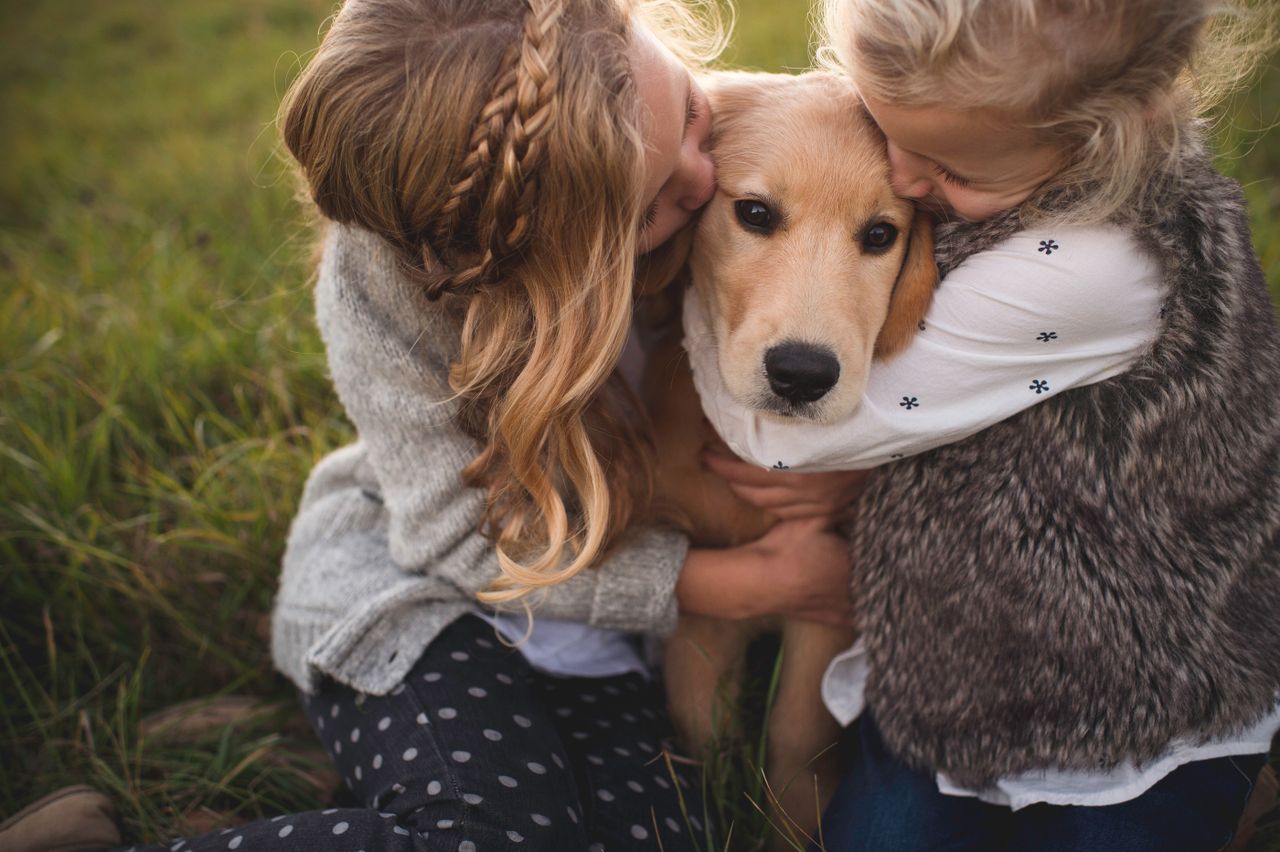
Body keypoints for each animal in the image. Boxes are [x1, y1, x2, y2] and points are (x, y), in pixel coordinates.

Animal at [645, 69, 936, 844]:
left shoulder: (823, 614)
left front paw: (788, 828)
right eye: (754, 212)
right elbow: (703, 731)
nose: (803, 375)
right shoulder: (707, 611)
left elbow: (798, 741)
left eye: (879, 235)